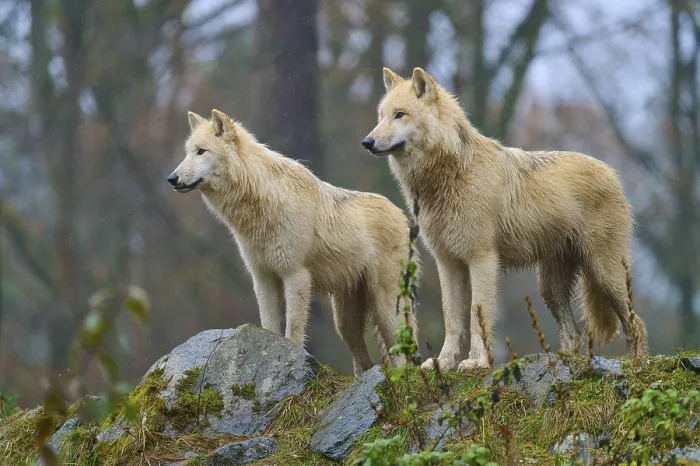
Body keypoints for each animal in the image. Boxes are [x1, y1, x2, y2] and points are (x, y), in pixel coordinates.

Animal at [167, 109, 418, 376]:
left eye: (201, 151)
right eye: (187, 152)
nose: (172, 178)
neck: (261, 206)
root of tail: (402, 216)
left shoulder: (296, 276)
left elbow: (294, 333)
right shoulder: (263, 278)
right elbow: (269, 326)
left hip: (385, 307)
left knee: (400, 352)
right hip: (344, 321)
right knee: (363, 359)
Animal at [361, 67, 647, 371]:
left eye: (400, 115)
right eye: (381, 116)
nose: (367, 142)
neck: (449, 174)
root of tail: (611, 173)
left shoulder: (482, 260)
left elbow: (478, 316)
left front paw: (476, 362)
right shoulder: (447, 263)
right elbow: (452, 318)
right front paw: (444, 362)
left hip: (604, 273)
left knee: (635, 323)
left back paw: (638, 363)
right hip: (550, 287)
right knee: (573, 334)